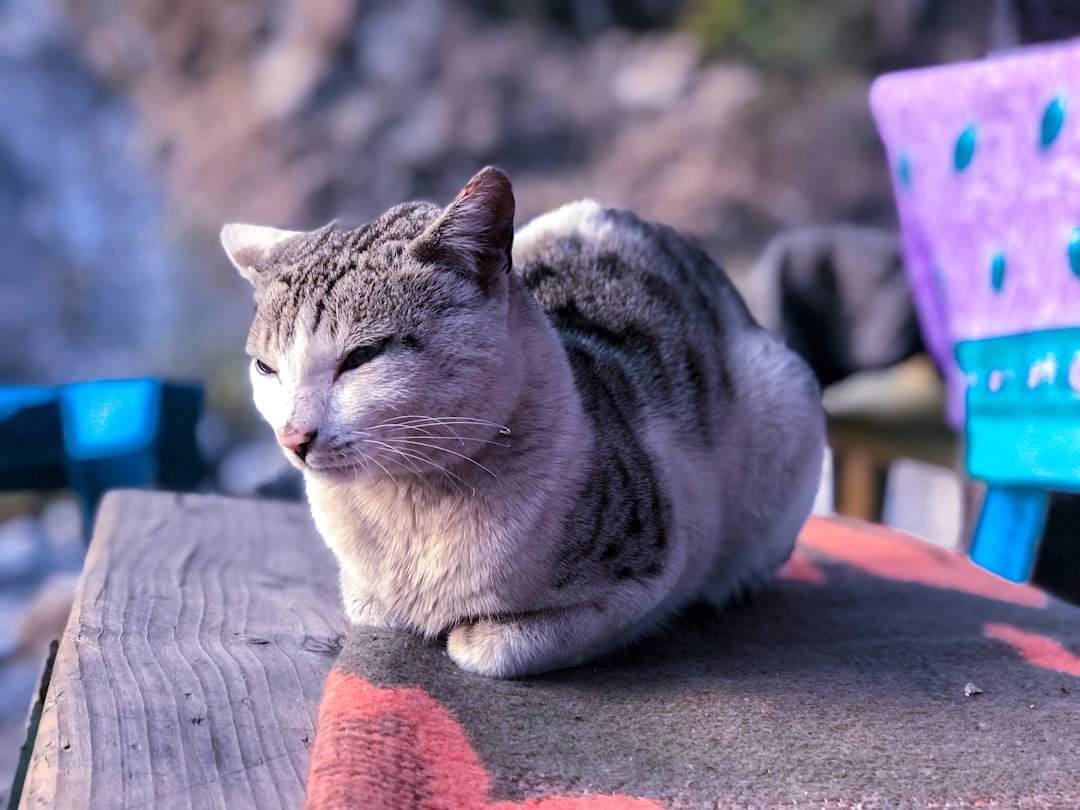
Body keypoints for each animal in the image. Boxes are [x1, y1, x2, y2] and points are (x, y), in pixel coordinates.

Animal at [221, 169, 825, 678]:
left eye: (362, 356)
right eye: (266, 368)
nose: (292, 436)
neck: (412, 506)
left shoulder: (658, 562)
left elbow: (500, 647)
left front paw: (471, 634)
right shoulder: (366, 596)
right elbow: (371, 608)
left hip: (786, 403)